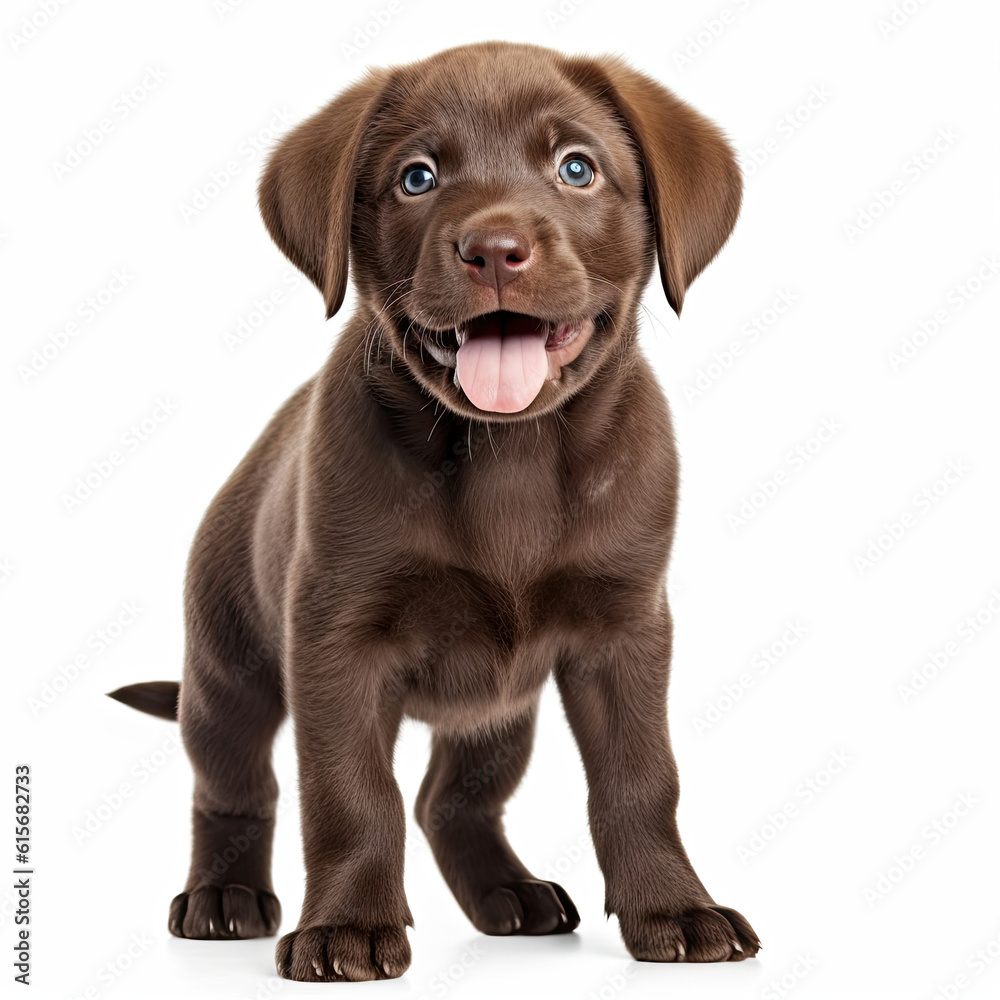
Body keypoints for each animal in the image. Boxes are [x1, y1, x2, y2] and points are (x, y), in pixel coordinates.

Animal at [107, 43, 756, 980]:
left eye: (578, 168)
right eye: (417, 177)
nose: (495, 249)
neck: (508, 455)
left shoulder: (625, 629)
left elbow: (641, 780)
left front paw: (675, 907)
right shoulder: (334, 639)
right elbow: (350, 794)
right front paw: (346, 928)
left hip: (500, 706)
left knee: (451, 799)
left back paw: (509, 893)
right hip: (228, 664)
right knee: (233, 786)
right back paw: (222, 896)